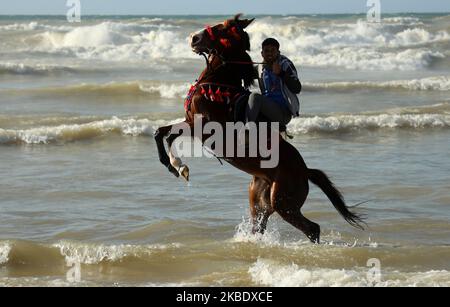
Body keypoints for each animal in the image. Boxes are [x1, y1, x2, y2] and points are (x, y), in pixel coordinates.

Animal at [155, 15, 366, 245]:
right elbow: (162, 133)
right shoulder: (190, 121)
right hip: (260, 204)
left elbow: (169, 135)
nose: (194, 38)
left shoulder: (202, 127)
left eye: (222, 29)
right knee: (262, 227)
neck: (217, 84)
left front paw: (178, 166)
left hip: (284, 203)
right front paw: (176, 167)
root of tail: (305, 171)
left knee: (312, 228)